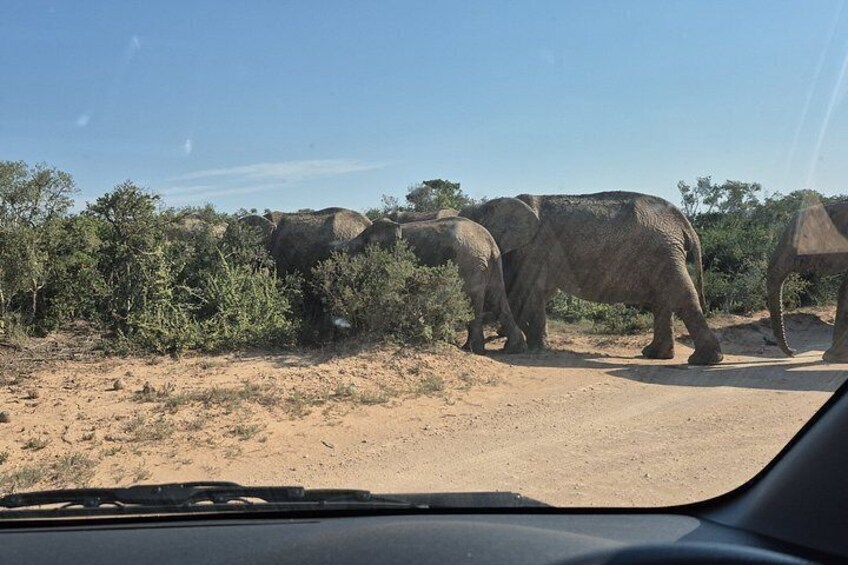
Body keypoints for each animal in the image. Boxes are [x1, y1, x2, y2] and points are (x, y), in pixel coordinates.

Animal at [344, 217, 528, 354]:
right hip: (490, 265)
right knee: (497, 299)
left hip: (468, 263)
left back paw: (471, 349)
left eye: (359, 248)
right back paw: (514, 348)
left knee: (472, 299)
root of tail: (490, 243)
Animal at [460, 192, 724, 365]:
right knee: (662, 301)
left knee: (679, 295)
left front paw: (532, 349)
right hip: (664, 253)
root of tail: (683, 221)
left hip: (664, 250)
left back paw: (703, 360)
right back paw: (655, 355)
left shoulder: (533, 249)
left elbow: (528, 293)